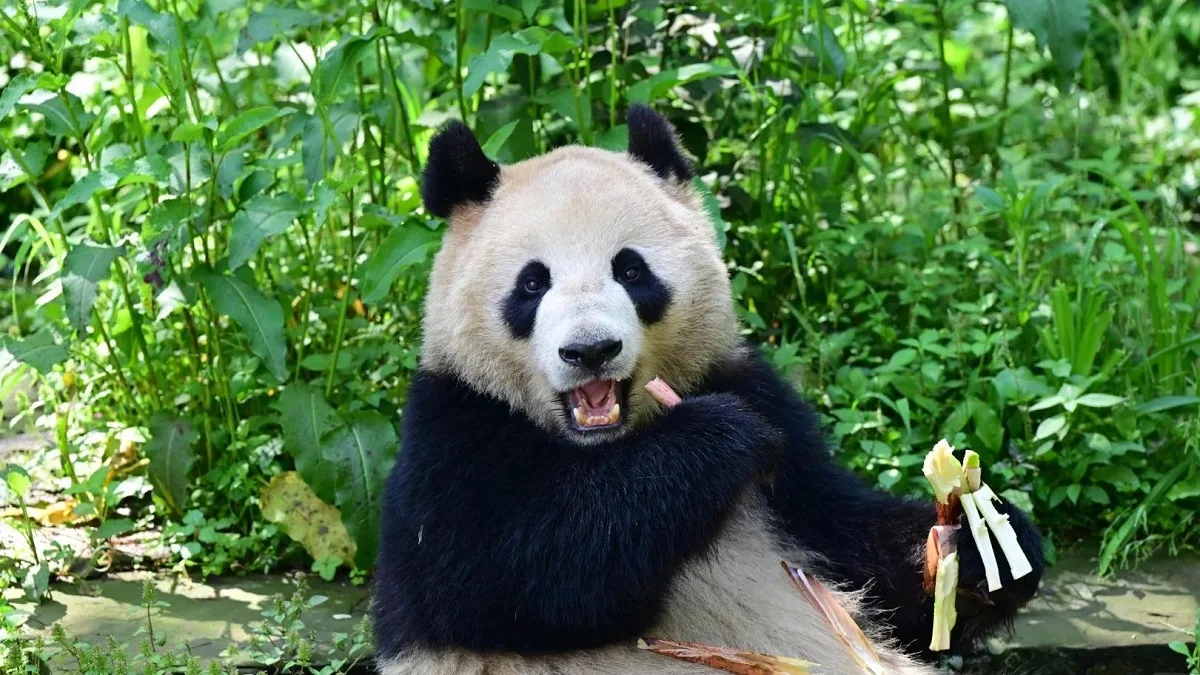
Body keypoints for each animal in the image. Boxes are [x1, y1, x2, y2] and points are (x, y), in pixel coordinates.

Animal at [371, 105, 1044, 675]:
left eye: (631, 269)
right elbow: (498, 574)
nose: (590, 350)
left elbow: (853, 545)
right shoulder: (453, 426)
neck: (606, 447)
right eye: (532, 284)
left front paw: (982, 546)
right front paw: (719, 438)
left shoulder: (754, 398)